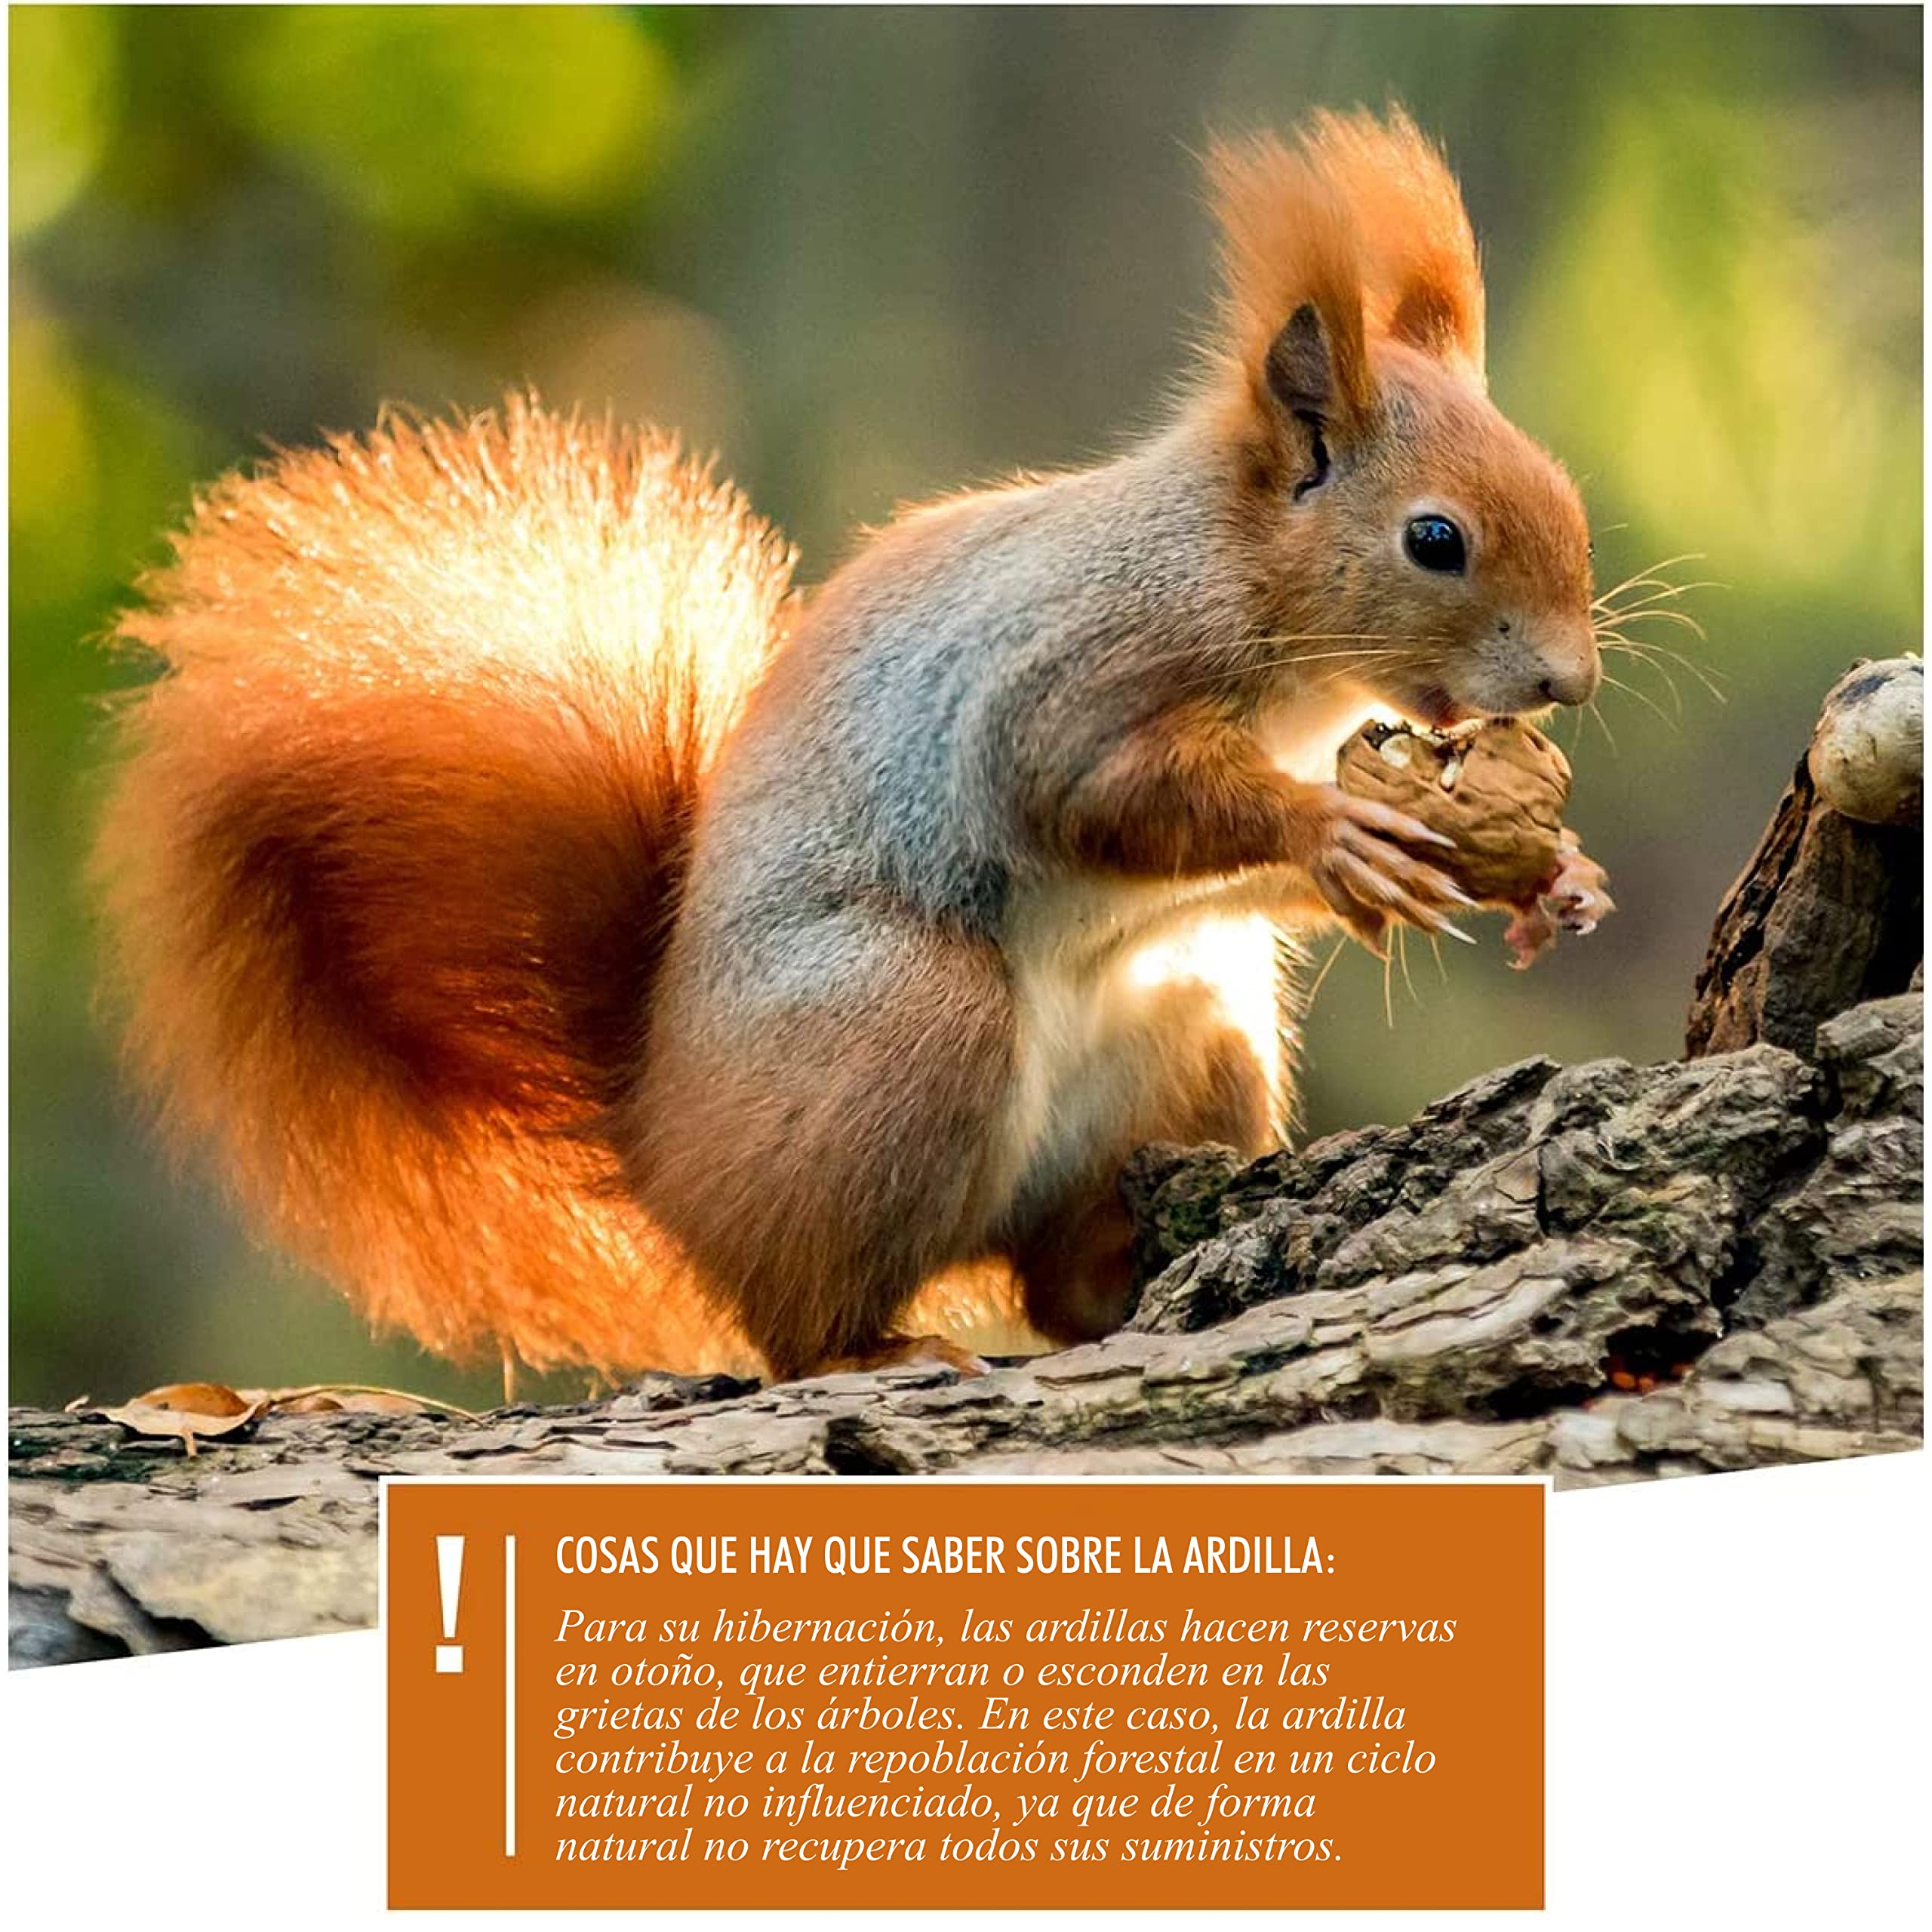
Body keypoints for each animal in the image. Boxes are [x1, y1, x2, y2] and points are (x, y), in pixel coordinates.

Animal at [94, 110, 1607, 1386]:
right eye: (1434, 539)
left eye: (1563, 489)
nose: (1571, 682)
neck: (1250, 589)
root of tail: (661, 1142)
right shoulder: (1071, 675)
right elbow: (1097, 795)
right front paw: (1336, 831)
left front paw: (1553, 880)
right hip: (904, 1028)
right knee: (799, 1320)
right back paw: (872, 1347)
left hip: (1191, 1043)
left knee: (1053, 1281)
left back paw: (1113, 1284)